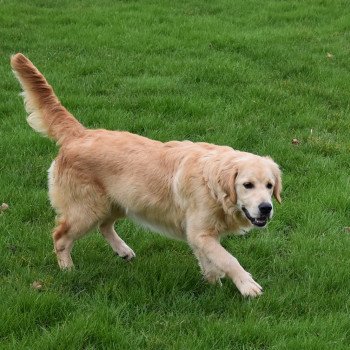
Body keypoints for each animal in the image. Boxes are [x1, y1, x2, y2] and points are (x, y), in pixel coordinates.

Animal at [11, 53, 282, 296]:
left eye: (269, 186)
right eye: (247, 185)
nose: (266, 208)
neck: (213, 185)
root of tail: (80, 133)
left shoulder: (200, 235)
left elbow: (211, 260)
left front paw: (212, 281)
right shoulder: (200, 232)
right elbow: (228, 258)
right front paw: (246, 285)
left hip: (119, 202)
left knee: (104, 226)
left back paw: (123, 250)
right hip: (86, 209)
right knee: (60, 236)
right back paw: (68, 269)